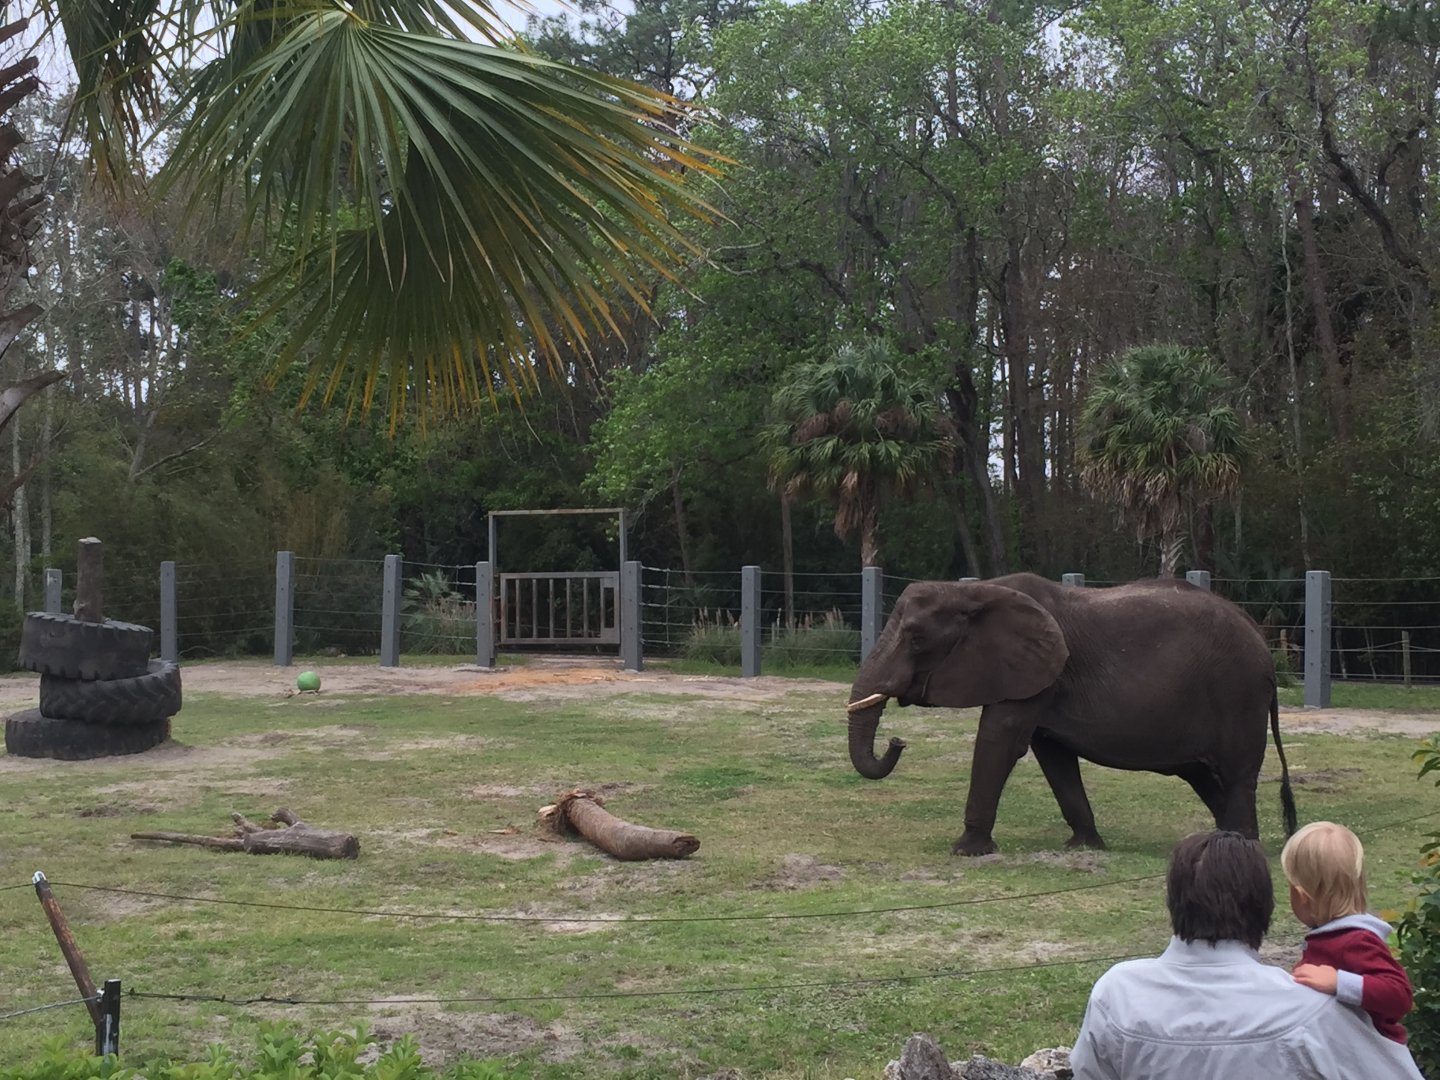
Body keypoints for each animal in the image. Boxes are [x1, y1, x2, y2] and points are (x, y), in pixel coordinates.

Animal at [845, 573, 1297, 856]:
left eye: (916, 639)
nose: (898, 741)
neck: (978, 592)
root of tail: (1262, 641)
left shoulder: (1037, 670)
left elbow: (999, 739)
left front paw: (966, 850)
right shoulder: (1038, 676)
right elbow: (1051, 753)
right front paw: (1084, 846)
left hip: (1237, 695)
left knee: (1236, 777)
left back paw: (1242, 846)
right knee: (1206, 777)